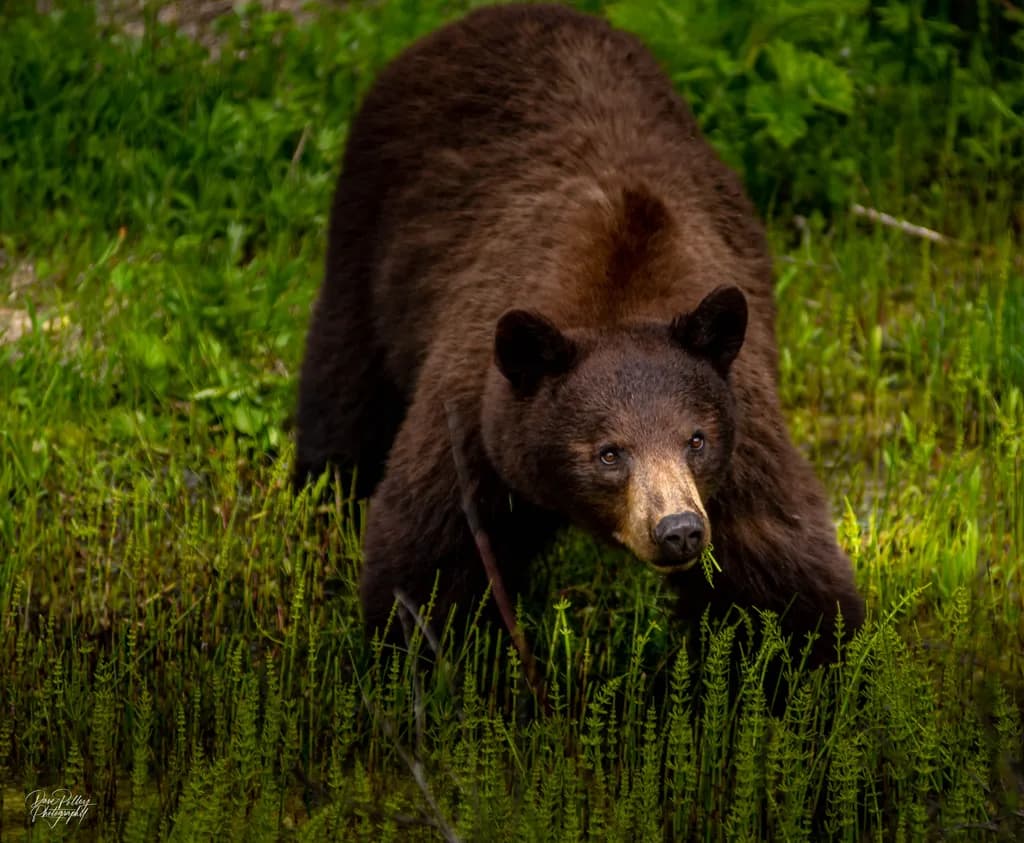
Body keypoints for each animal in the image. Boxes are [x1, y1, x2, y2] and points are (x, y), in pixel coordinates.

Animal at [295, 3, 865, 665]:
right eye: (608, 452)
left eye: (696, 440)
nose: (679, 530)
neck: (616, 299)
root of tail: (497, 14)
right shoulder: (472, 413)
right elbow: (430, 548)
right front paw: (428, 653)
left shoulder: (743, 436)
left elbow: (781, 565)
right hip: (368, 219)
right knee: (346, 378)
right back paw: (322, 495)